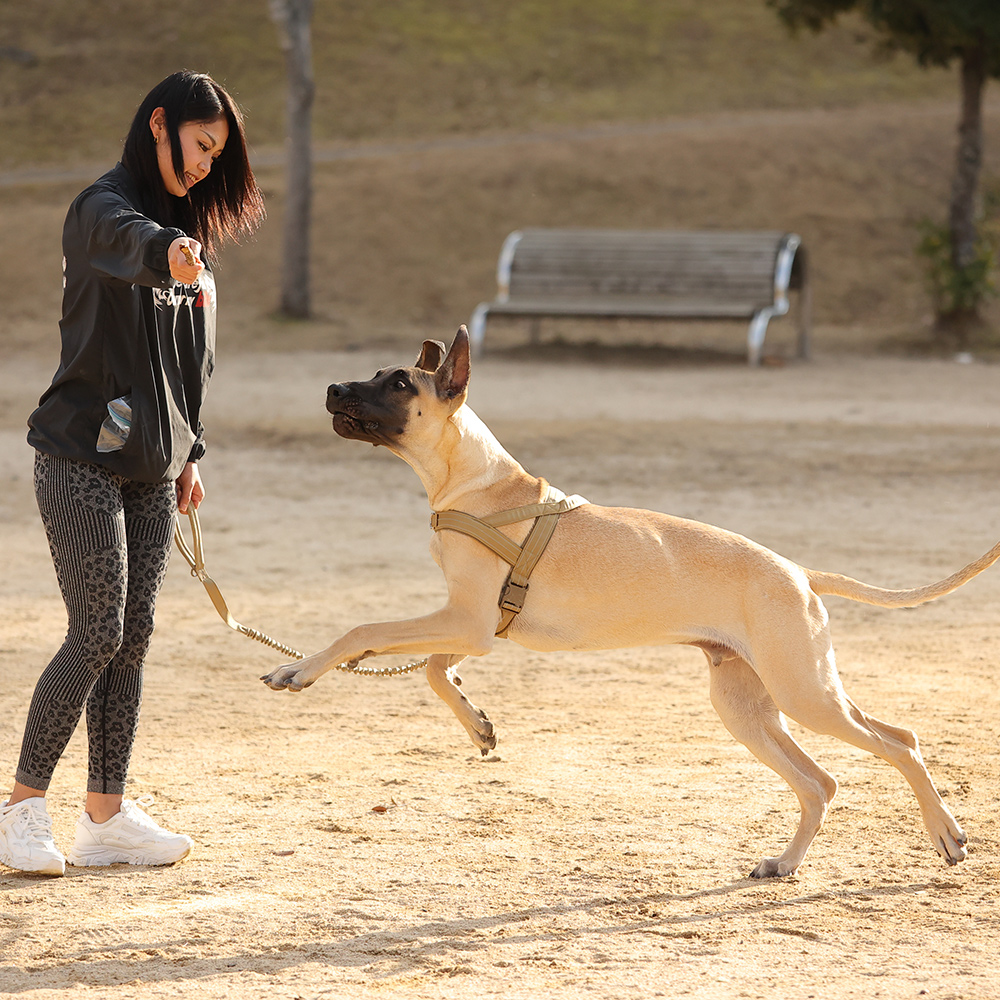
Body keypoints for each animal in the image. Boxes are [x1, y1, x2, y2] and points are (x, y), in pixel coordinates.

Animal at [266, 326, 1000, 876]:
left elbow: (366, 629)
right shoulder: (475, 628)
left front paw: (299, 668)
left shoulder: (465, 621)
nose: (332, 388)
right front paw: (477, 724)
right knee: (821, 782)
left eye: (397, 383)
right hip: (747, 708)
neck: (481, 485)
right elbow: (433, 669)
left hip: (804, 694)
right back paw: (786, 863)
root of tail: (798, 571)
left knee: (900, 741)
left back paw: (947, 834)